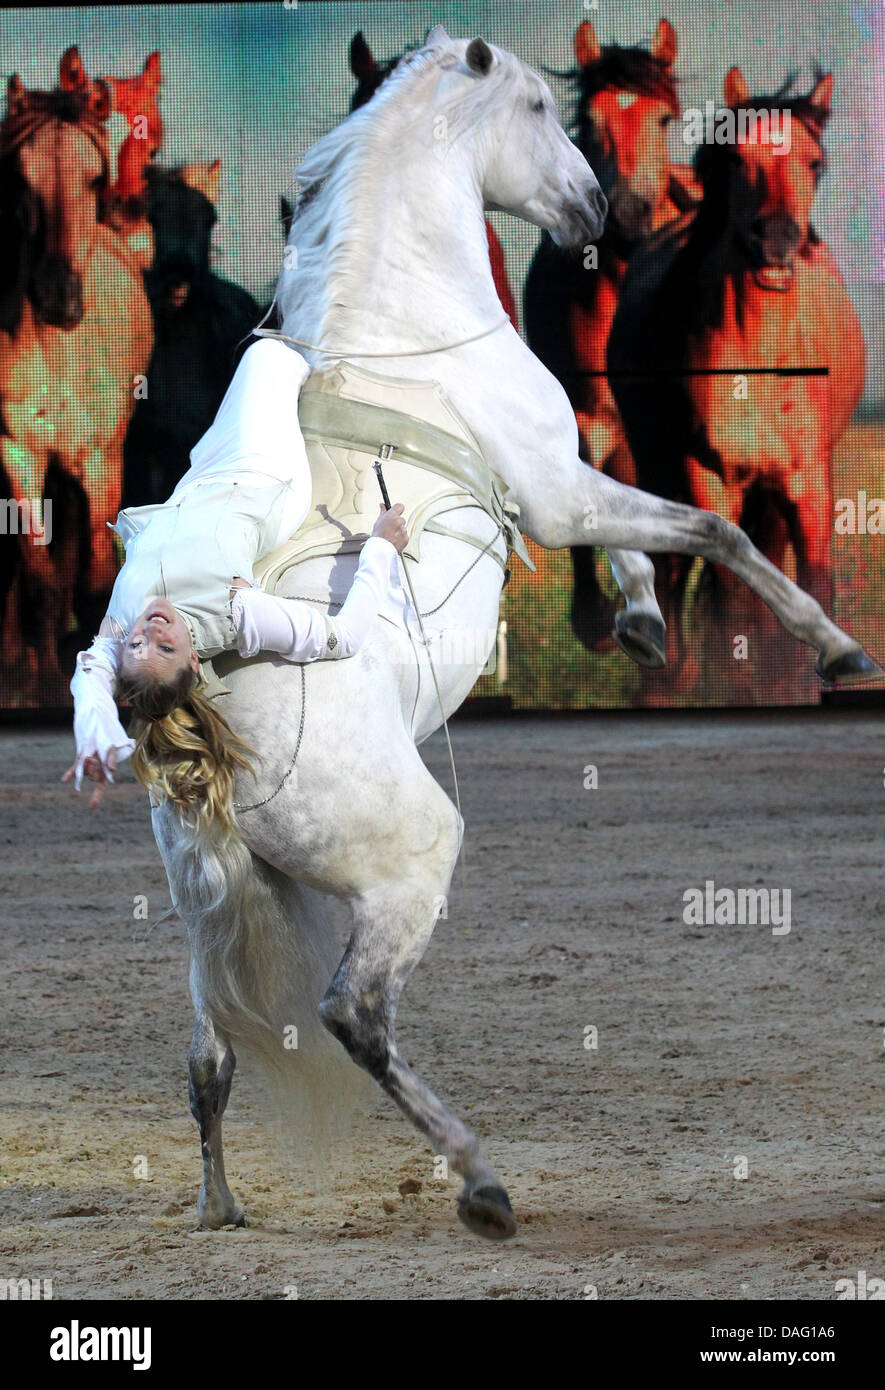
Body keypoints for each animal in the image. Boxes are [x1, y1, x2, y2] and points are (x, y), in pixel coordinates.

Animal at [608, 68, 864, 702]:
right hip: (660, 462)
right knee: (674, 569)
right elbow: (728, 591)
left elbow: (810, 583)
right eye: (739, 158)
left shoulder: (807, 482)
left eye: (815, 162)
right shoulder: (711, 476)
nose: (776, 240)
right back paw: (664, 673)